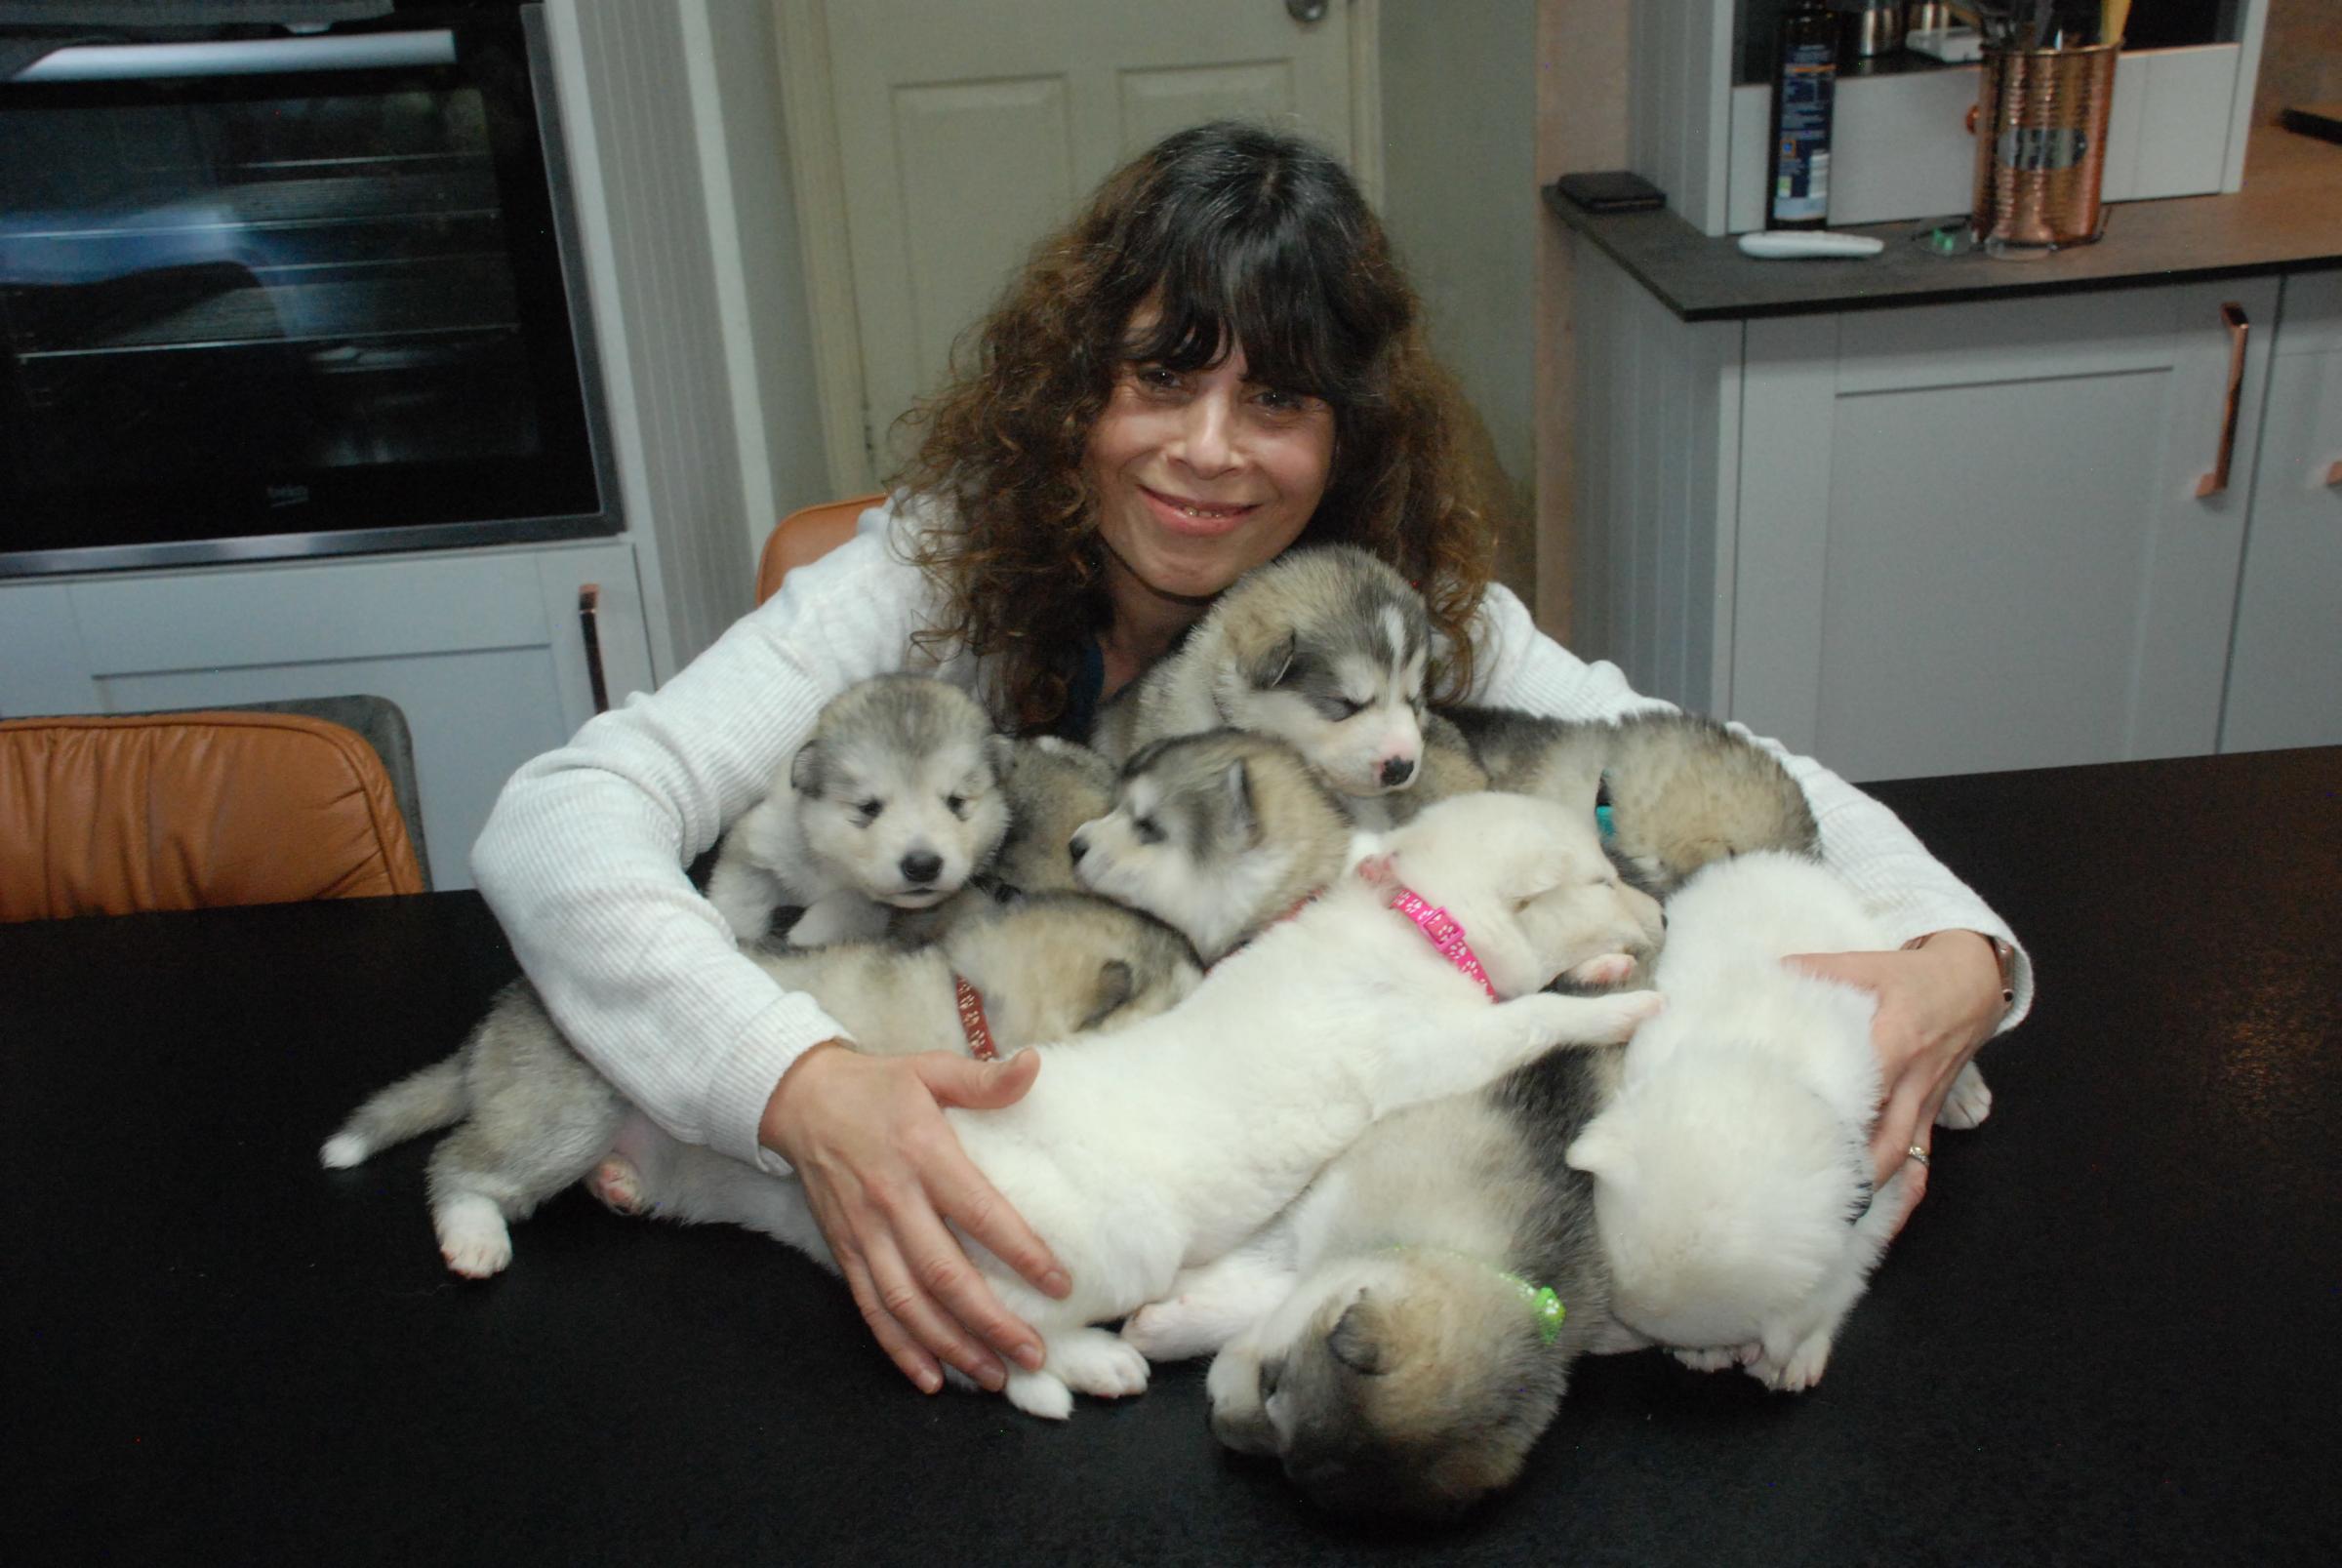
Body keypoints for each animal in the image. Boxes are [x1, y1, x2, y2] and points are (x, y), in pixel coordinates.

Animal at [320, 889, 1198, 1282]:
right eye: (1187, 1009)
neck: (970, 1009)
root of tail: (505, 1012)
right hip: (569, 1108)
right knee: (460, 1166)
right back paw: (474, 1233)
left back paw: (619, 1183)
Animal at [703, 673, 1016, 945]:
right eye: (868, 807)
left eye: (956, 802)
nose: (922, 866)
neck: (832, 868)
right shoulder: (758, 845)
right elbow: (740, 900)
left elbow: (849, 906)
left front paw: (805, 932)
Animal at [1564, 852, 1986, 1394]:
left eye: (1639, 1329)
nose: (1590, 1345)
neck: (1771, 1059)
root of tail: (1769, 859)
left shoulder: (1873, 1195)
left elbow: (1842, 1282)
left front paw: (1793, 1351)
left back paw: (1965, 1091)